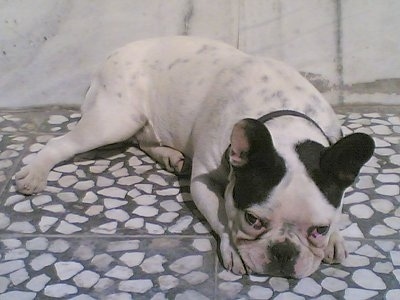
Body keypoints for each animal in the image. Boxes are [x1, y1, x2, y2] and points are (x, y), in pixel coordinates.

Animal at [15, 36, 374, 278]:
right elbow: (222, 218)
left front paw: (336, 238)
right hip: (114, 119)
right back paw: (35, 172)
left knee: (143, 138)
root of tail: (113, 54)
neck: (284, 120)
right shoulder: (203, 184)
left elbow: (339, 209)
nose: (283, 252)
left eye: (319, 229)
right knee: (61, 144)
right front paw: (233, 248)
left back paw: (170, 156)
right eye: (252, 219)